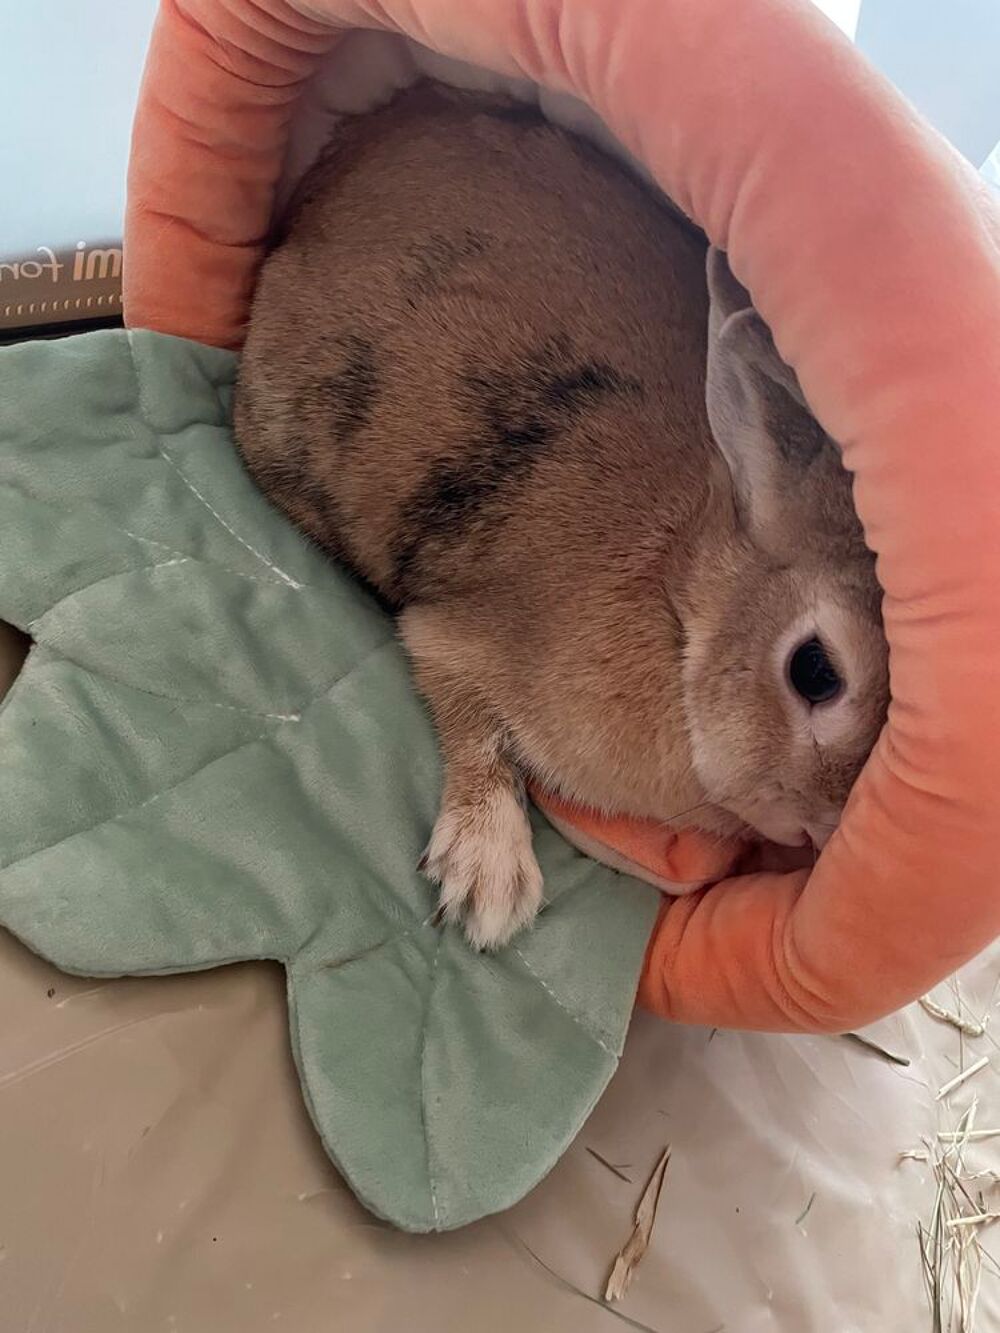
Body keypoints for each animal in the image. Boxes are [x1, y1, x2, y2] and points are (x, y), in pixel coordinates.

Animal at [234, 82, 889, 950]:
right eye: (814, 670)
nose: (823, 829)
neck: (680, 606)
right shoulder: (460, 640)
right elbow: (471, 722)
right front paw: (489, 882)